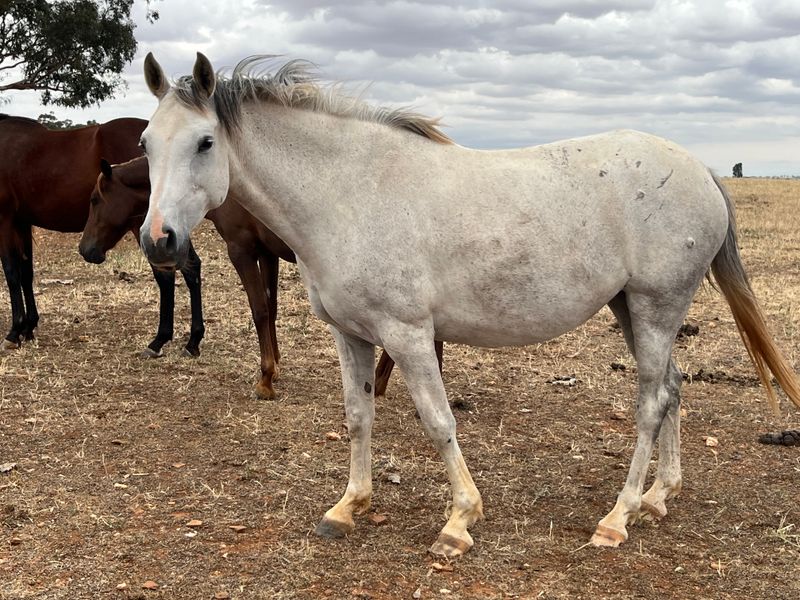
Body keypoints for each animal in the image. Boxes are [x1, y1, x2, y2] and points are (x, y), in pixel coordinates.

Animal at [0, 115, 146, 349]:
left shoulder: (4, 222)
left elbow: (12, 274)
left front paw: (14, 332)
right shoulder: (21, 223)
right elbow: (25, 273)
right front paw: (28, 328)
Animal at [79, 155, 442, 398]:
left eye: (95, 200)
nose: (85, 249)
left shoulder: (241, 251)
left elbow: (259, 309)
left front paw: (265, 379)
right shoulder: (267, 254)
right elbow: (272, 308)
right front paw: (276, 365)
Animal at [136, 53, 800, 557]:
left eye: (205, 142)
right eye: (145, 143)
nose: (158, 240)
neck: (350, 193)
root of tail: (700, 170)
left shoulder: (407, 336)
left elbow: (438, 422)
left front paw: (459, 521)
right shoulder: (350, 335)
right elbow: (357, 417)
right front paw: (349, 506)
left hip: (657, 308)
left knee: (651, 403)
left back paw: (618, 517)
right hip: (631, 309)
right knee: (674, 389)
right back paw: (660, 495)